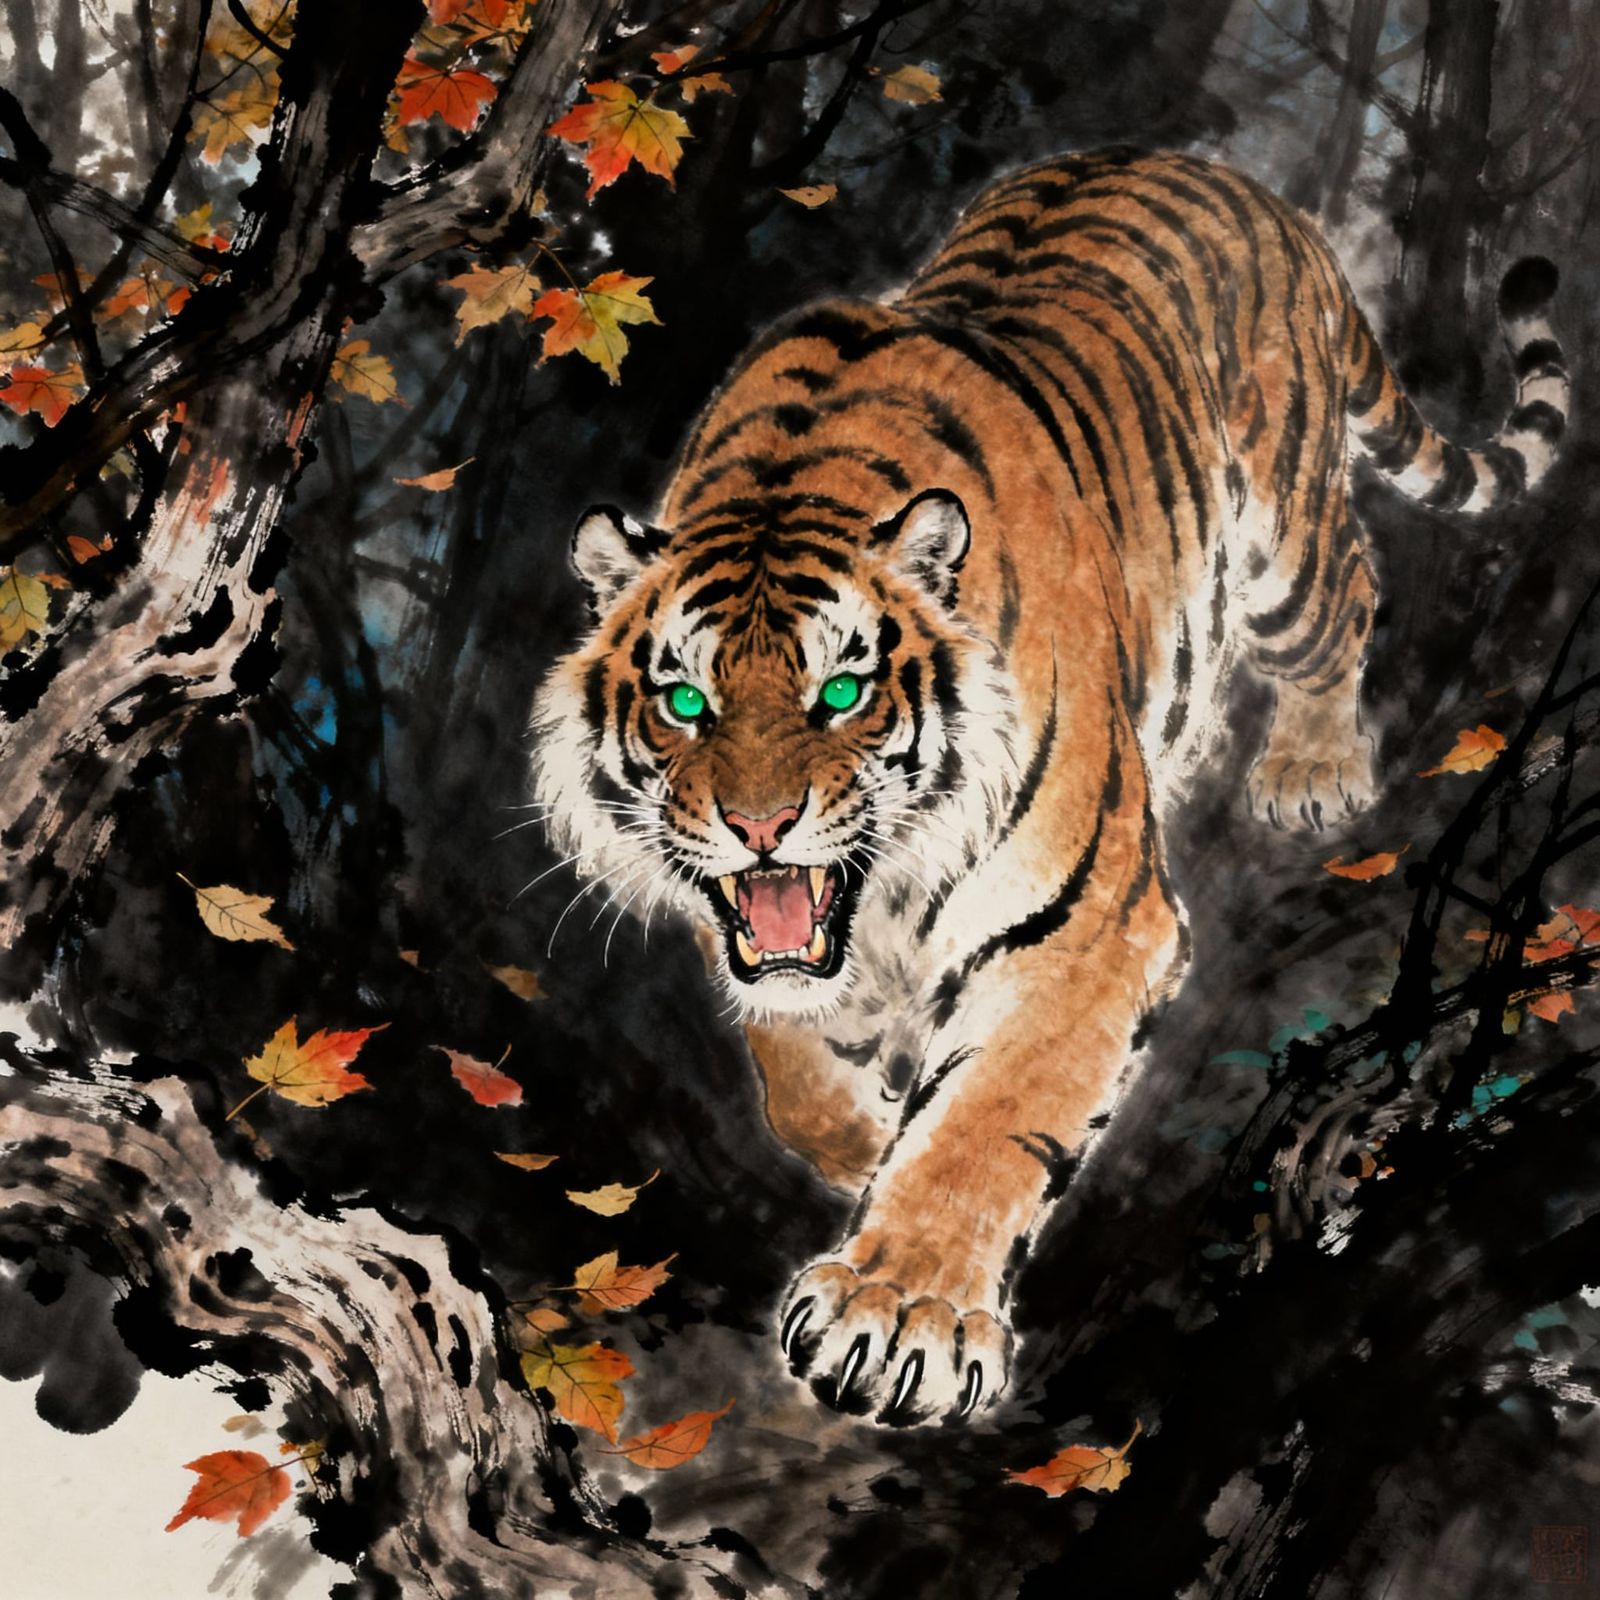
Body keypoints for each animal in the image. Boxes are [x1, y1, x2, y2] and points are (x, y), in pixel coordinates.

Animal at [530, 148, 1568, 1425]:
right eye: (685, 703)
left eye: (841, 693)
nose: (759, 826)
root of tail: (1238, 183)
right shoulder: (756, 937)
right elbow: (798, 1073)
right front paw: (871, 1136)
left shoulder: (1088, 927)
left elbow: (988, 1115)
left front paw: (900, 1311)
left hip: (1283, 548)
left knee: (1349, 591)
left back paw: (1309, 770)